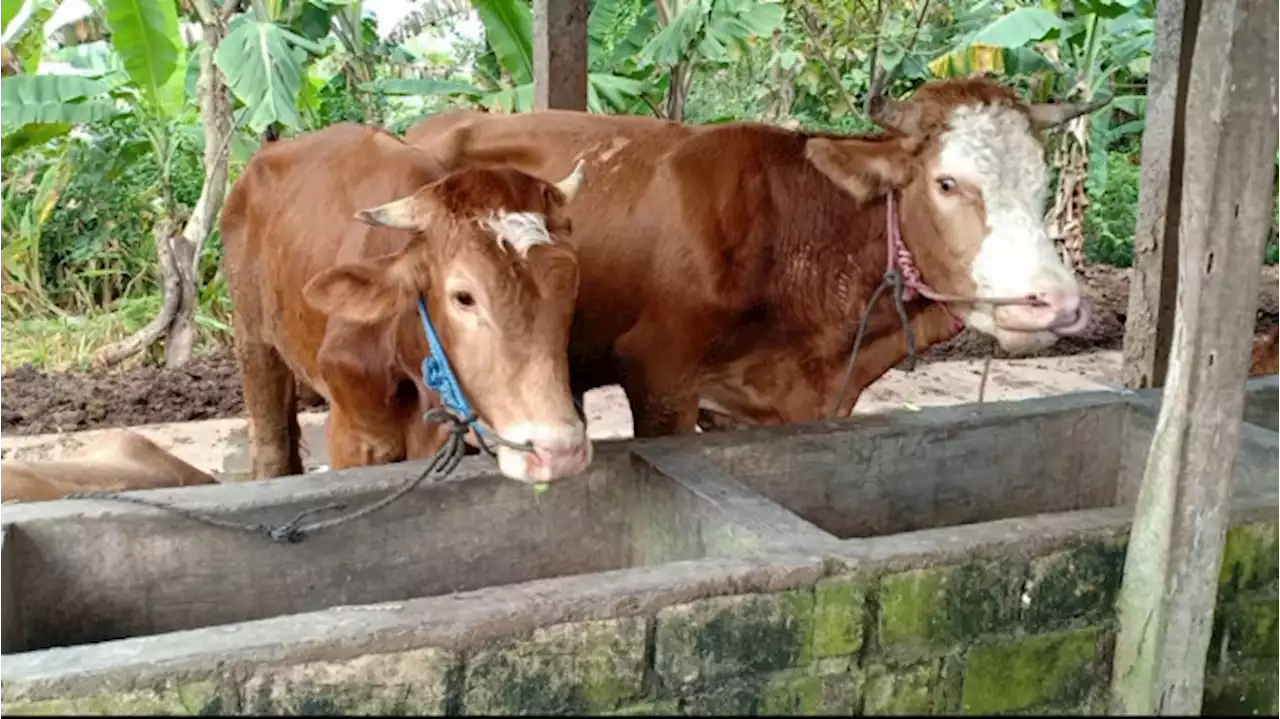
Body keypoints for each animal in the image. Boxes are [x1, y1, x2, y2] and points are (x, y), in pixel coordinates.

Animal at [221, 121, 593, 481]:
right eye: (464, 297)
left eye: (568, 282)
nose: (559, 453)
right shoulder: (353, 437)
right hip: (253, 339)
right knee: (272, 440)